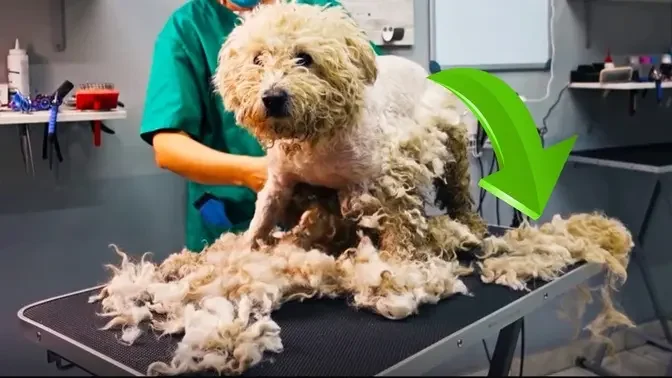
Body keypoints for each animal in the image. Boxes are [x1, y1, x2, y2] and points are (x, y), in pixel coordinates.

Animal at [90, 2, 636, 376]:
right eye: (258, 59)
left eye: (305, 59)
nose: (273, 97)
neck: (318, 142)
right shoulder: (282, 181)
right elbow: (261, 222)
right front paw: (249, 251)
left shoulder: (386, 181)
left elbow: (400, 231)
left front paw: (400, 269)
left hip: (452, 149)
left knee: (458, 191)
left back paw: (470, 224)